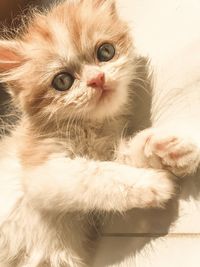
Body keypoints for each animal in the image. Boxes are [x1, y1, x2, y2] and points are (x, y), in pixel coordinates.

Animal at [0, 0, 179, 267]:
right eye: (62, 81)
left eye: (105, 52)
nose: (97, 79)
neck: (90, 129)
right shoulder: (42, 172)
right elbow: (95, 174)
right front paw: (152, 184)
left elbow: (120, 158)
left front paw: (165, 147)